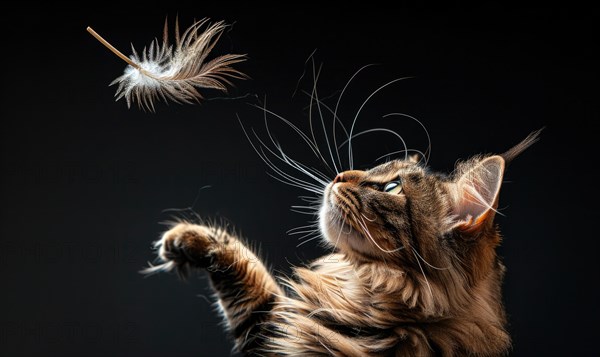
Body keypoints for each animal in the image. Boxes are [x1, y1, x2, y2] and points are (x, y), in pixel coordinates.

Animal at [144, 129, 540, 356]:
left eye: (391, 187)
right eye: (378, 167)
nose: (338, 176)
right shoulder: (271, 328)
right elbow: (247, 274)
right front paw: (184, 238)